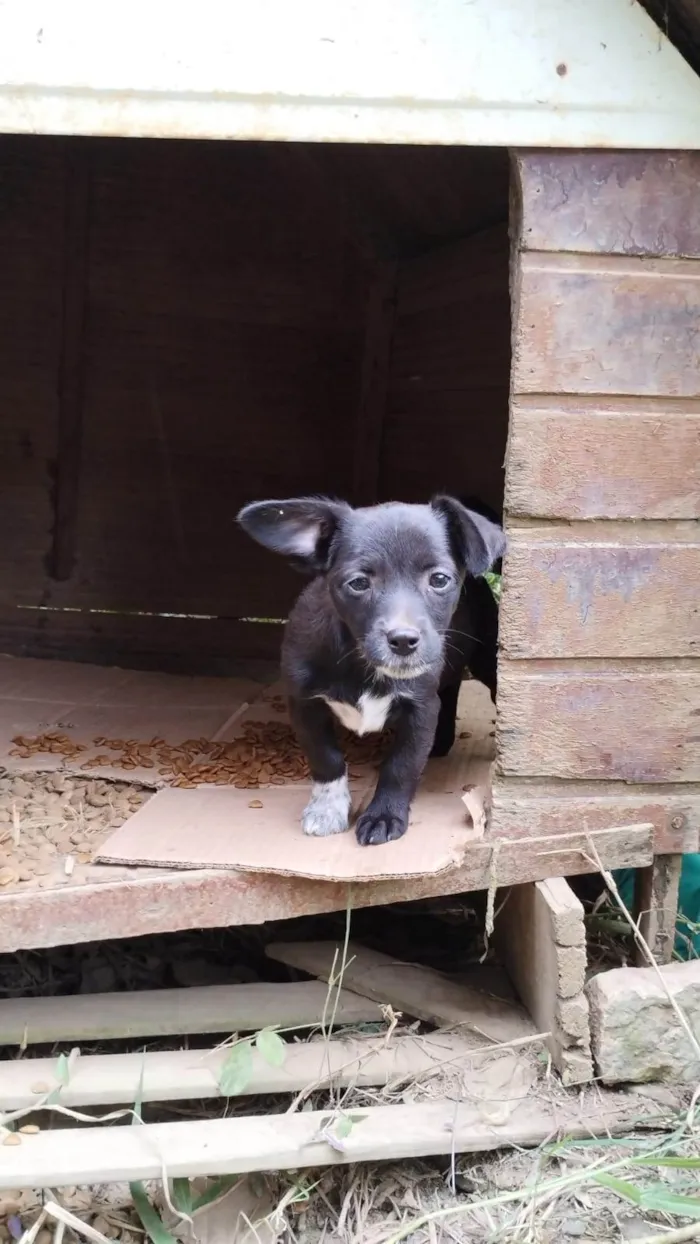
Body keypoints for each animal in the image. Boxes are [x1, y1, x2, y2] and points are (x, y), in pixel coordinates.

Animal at [238, 495, 507, 845]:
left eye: (439, 580)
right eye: (358, 583)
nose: (403, 640)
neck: (364, 665)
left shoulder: (420, 709)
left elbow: (401, 766)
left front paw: (384, 815)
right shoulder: (303, 705)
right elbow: (325, 758)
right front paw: (328, 809)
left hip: (486, 660)